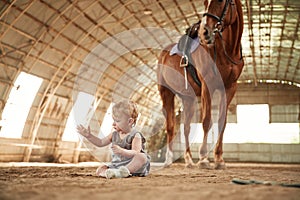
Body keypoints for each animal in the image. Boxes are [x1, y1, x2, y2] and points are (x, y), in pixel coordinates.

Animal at [157, 0, 244, 169]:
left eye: (221, 1)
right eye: (205, 2)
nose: (205, 33)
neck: (227, 50)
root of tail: (164, 53)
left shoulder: (230, 88)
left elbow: (221, 122)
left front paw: (219, 159)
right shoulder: (207, 87)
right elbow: (206, 120)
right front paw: (204, 158)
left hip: (188, 99)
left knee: (185, 128)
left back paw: (189, 160)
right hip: (166, 93)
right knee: (170, 127)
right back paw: (168, 160)